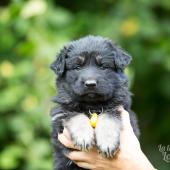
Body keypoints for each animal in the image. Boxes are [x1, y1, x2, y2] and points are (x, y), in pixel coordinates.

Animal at [50, 35, 139, 169]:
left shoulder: (120, 109)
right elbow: (75, 115)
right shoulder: (60, 119)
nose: (90, 84)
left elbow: (108, 116)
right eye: (78, 67)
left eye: (102, 67)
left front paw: (107, 142)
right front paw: (83, 137)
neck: (91, 106)